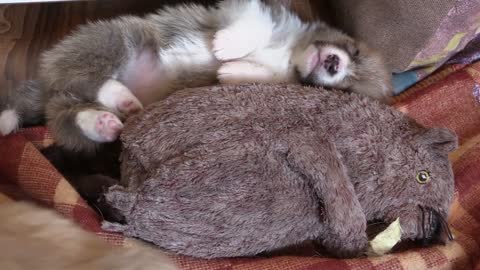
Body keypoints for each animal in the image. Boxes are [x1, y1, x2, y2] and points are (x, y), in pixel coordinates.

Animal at [0, 0, 392, 152]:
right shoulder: (254, 12)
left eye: (345, 90)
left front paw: (232, 69)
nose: (334, 65)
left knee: (67, 113)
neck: (290, 54)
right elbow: (254, 26)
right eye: (354, 52)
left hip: (75, 97)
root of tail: (45, 80)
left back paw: (110, 115)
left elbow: (263, 77)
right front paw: (228, 47)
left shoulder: (281, 79)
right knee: (79, 82)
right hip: (117, 39)